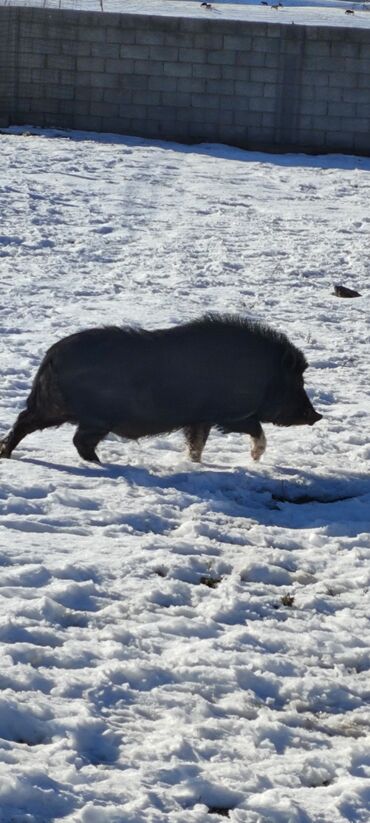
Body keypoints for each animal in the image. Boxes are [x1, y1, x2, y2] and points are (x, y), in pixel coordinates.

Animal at [0, 314, 320, 464]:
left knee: (27, 422)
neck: (265, 374)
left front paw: (194, 463)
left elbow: (196, 443)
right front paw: (255, 458)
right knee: (76, 440)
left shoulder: (200, 418)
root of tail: (52, 355)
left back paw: (6, 454)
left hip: (57, 409)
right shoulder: (228, 414)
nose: (316, 415)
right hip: (88, 416)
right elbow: (256, 429)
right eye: (298, 382)